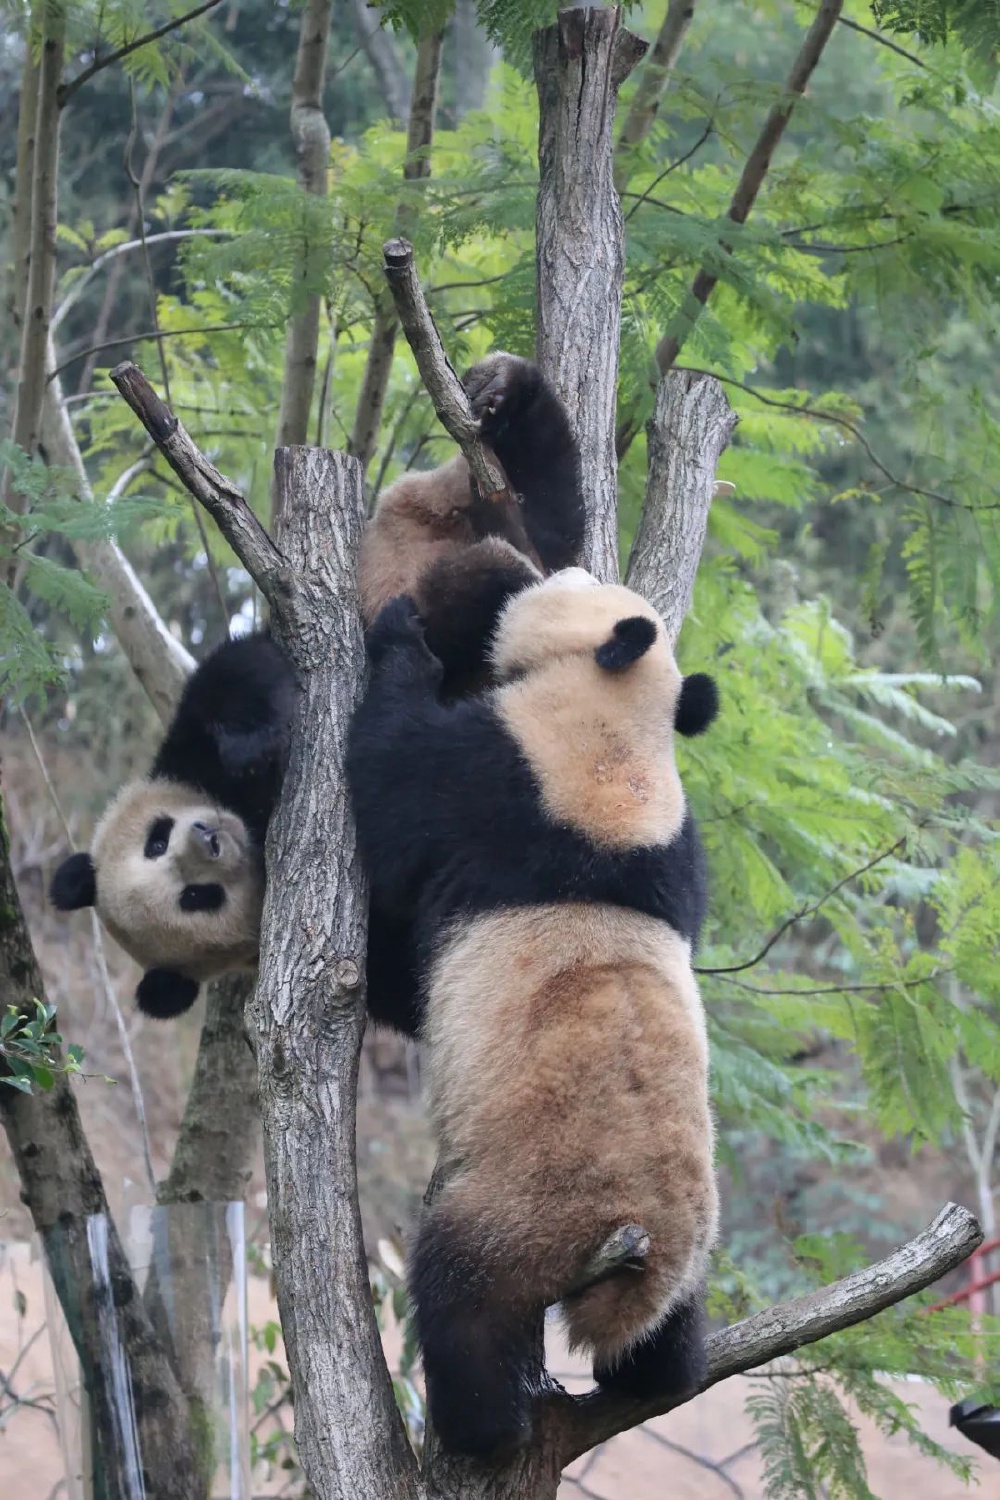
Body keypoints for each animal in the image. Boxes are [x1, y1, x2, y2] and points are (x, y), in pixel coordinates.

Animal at [49, 633, 296, 1020]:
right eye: (195, 896)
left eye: (156, 842)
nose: (209, 838)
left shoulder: (190, 760)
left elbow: (234, 672)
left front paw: (248, 747)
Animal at [344, 570, 719, 1452]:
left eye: (575, 582)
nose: (545, 570)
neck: (623, 741)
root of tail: (639, 1245)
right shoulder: (678, 851)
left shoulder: (500, 777)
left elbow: (391, 775)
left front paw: (404, 639)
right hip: (696, 1241)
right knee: (673, 1326)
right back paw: (659, 1375)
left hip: (524, 1211)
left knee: (462, 1295)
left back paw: (482, 1427)